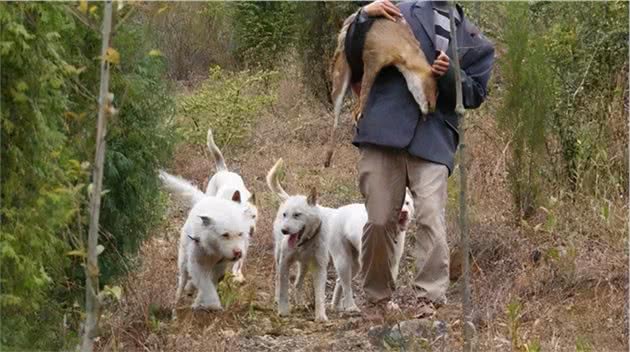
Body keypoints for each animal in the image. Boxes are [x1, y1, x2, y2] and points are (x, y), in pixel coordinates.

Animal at [158, 171, 252, 314]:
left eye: (240, 234)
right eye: (225, 235)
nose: (238, 253)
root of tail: (203, 200)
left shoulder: (219, 267)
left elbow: (208, 285)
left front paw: (198, 302)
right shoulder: (197, 264)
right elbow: (206, 287)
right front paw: (212, 304)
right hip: (183, 262)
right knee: (182, 282)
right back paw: (177, 303)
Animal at [206, 129, 258, 284]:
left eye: (254, 216)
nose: (251, 230)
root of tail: (223, 171)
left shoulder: (244, 242)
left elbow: (239, 260)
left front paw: (237, 274)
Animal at [266, 160, 336, 322]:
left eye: (297, 215)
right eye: (285, 215)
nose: (284, 231)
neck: (304, 243)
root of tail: (289, 198)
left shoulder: (320, 267)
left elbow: (320, 295)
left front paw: (321, 316)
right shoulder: (285, 263)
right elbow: (284, 290)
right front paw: (283, 311)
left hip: (304, 265)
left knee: (298, 283)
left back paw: (300, 303)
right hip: (278, 257)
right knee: (278, 280)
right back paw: (278, 299)